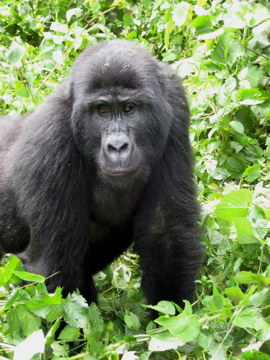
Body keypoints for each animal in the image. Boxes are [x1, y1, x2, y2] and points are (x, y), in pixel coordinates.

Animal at [0, 38, 201, 310]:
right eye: (102, 111)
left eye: (128, 108)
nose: (117, 147)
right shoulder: (52, 136)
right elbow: (51, 269)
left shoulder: (175, 108)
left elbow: (167, 230)